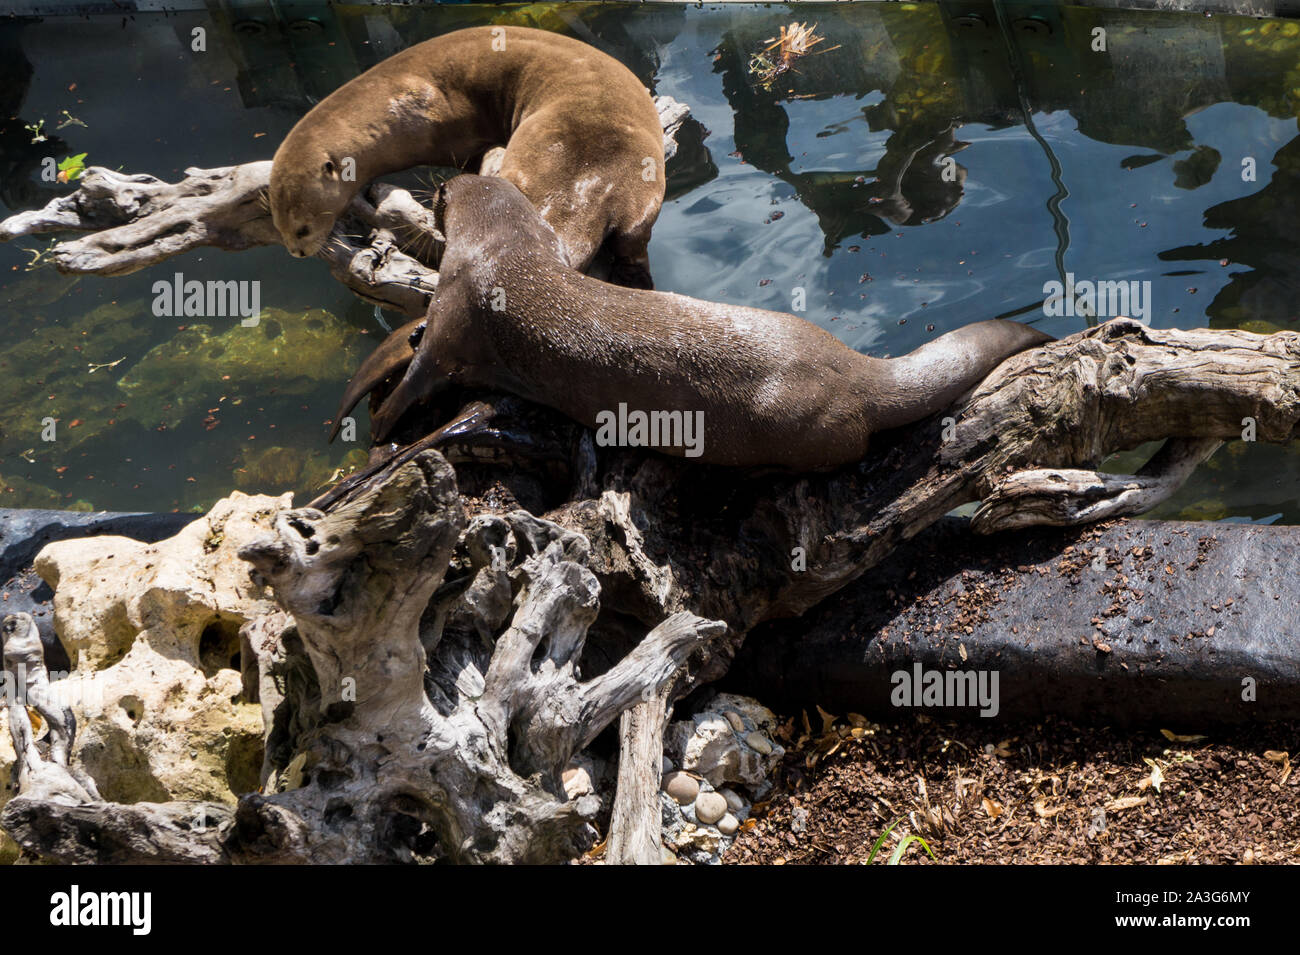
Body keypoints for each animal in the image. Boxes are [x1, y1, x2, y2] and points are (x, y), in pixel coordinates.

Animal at [267, 26, 665, 285]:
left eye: (302, 228)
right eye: (278, 225)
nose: (297, 252)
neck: (388, 109)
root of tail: (588, 184)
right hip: (643, 200)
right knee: (633, 242)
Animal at [330, 176, 1050, 475]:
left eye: (441, 195)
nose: (431, 193)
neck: (505, 249)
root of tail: (858, 371)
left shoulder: (455, 315)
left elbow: (418, 377)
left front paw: (380, 428)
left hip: (796, 422)